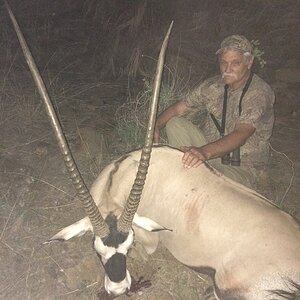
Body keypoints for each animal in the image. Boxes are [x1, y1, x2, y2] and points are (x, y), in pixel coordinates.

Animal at [7, 2, 300, 300]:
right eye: (96, 250)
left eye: (129, 246)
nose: (118, 288)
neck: (121, 178)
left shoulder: (151, 238)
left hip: (232, 286)